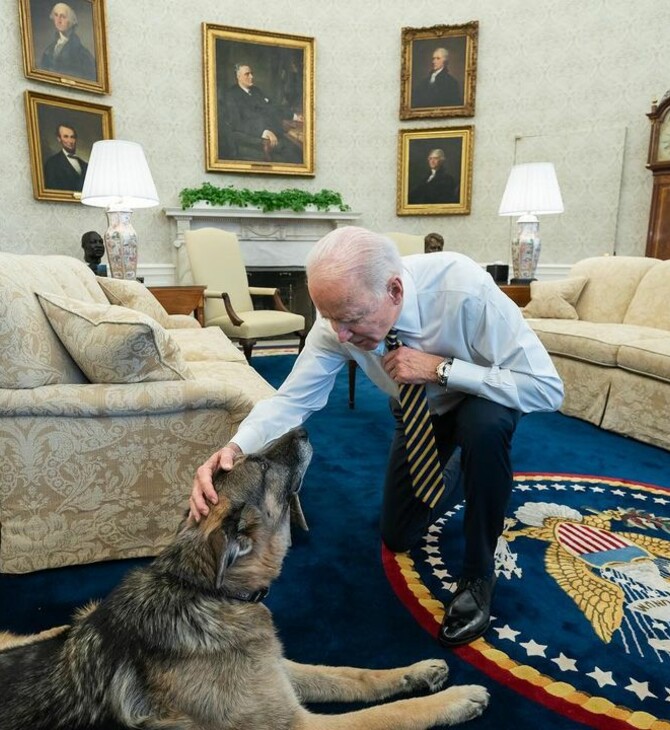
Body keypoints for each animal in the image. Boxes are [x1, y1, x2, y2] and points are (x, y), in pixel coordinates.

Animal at [2, 426, 490, 728]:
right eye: (262, 465)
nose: (303, 430)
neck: (206, 593)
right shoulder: (299, 724)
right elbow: (388, 715)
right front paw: (453, 700)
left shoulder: (278, 669)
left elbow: (351, 674)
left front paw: (416, 672)